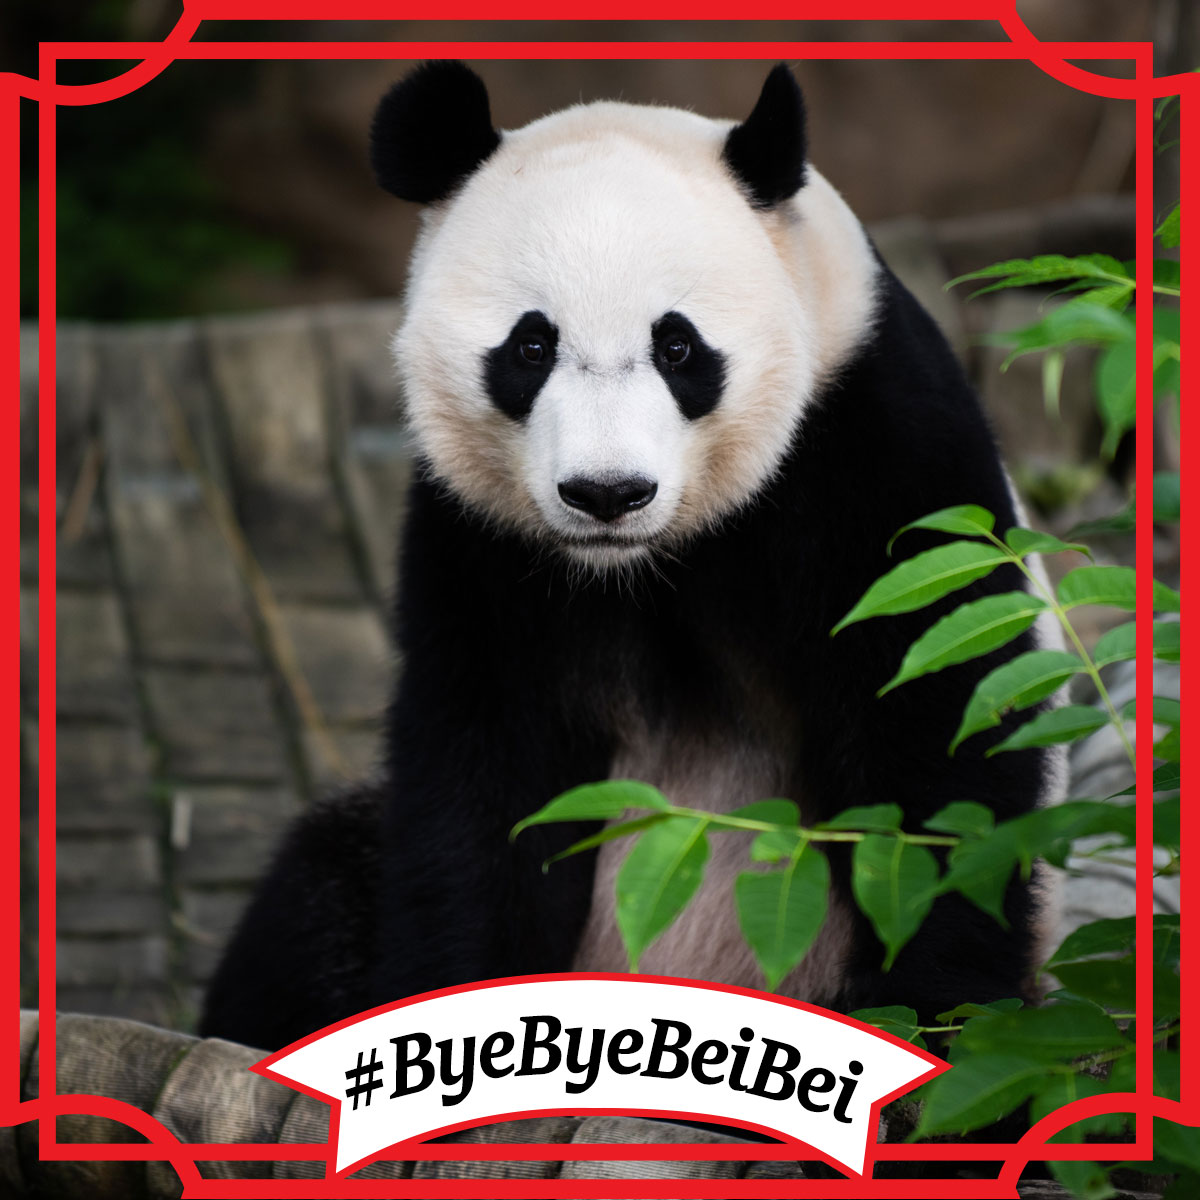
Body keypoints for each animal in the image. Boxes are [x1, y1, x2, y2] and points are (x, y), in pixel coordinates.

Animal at [201, 61, 1060, 1054]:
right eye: (531, 345)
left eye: (677, 346)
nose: (606, 492)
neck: (652, 561)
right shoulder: (482, 537)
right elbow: (484, 780)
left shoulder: (873, 447)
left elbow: (936, 735)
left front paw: (930, 1020)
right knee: (318, 890)